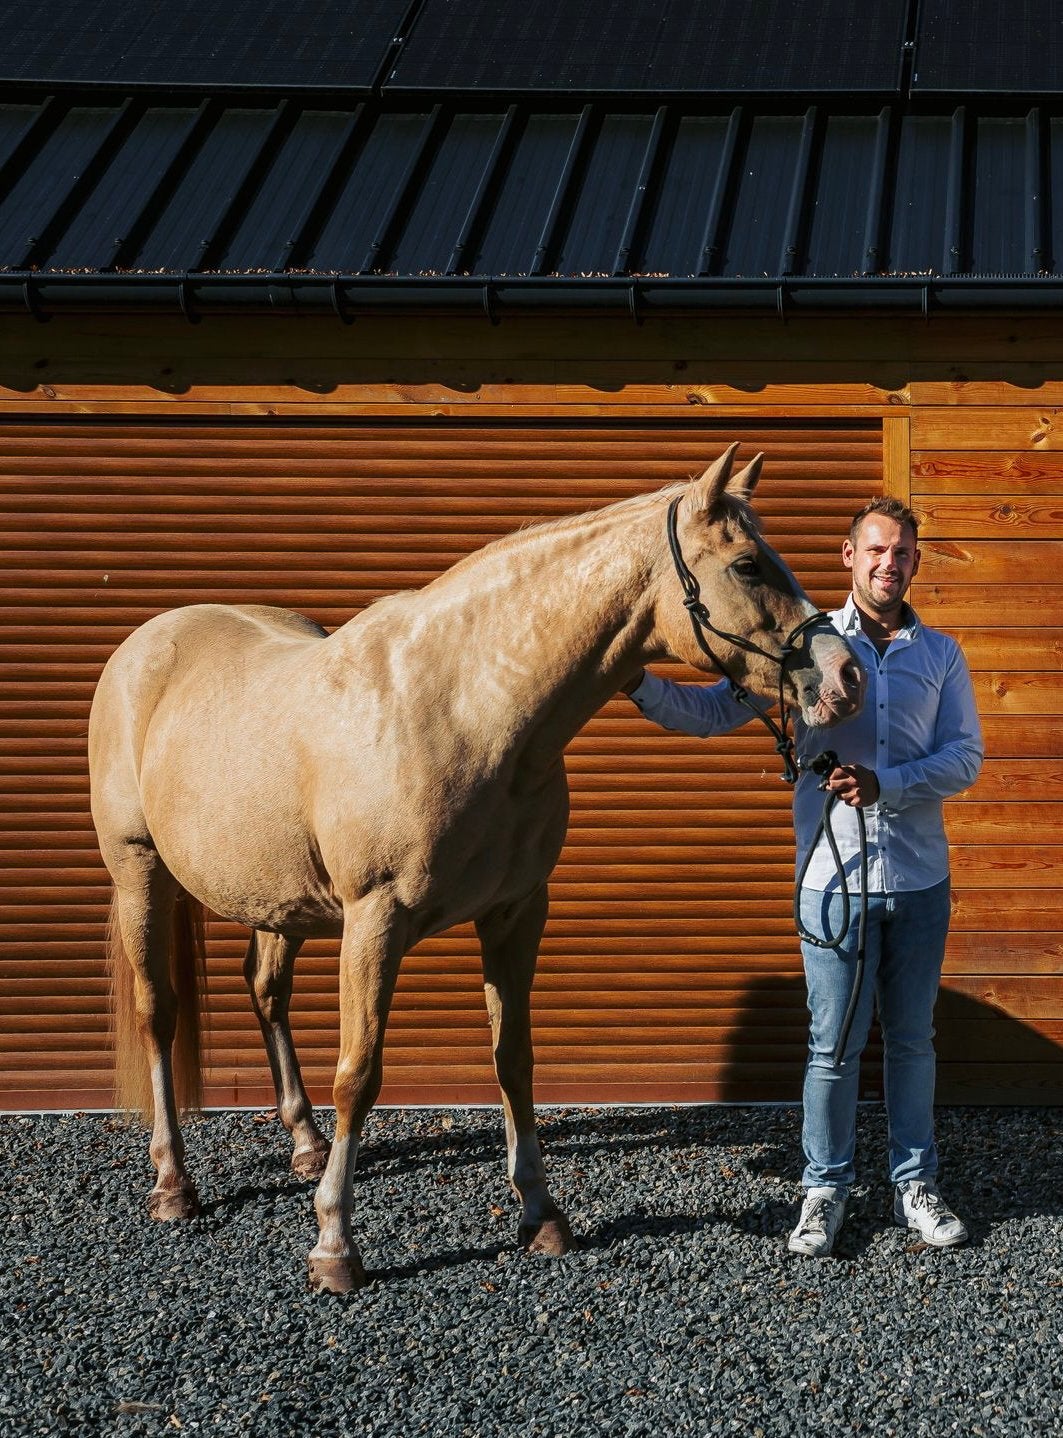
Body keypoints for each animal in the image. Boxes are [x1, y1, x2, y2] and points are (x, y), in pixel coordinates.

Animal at [88, 443, 864, 1293]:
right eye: (749, 564)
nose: (845, 677)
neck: (466, 708)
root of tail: (148, 642)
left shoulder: (516, 912)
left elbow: (512, 1059)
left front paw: (541, 1214)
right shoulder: (374, 923)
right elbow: (359, 1073)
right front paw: (334, 1246)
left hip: (276, 901)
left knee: (265, 992)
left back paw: (305, 1147)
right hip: (139, 873)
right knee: (158, 1014)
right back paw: (174, 1183)